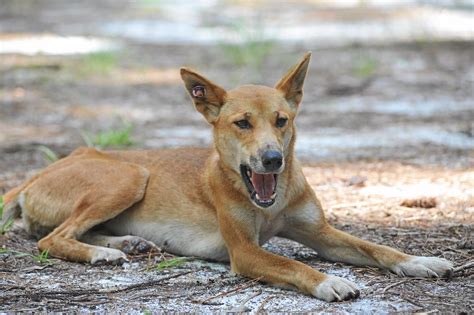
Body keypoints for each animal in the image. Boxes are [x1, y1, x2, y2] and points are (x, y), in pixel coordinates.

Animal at [1, 53, 452, 302]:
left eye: (281, 120)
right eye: (242, 123)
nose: (272, 159)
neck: (272, 202)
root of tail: (38, 172)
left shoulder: (320, 233)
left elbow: (377, 248)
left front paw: (420, 261)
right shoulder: (245, 252)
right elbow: (291, 263)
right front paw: (328, 282)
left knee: (71, 231)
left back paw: (124, 243)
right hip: (128, 175)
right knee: (51, 238)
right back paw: (102, 254)